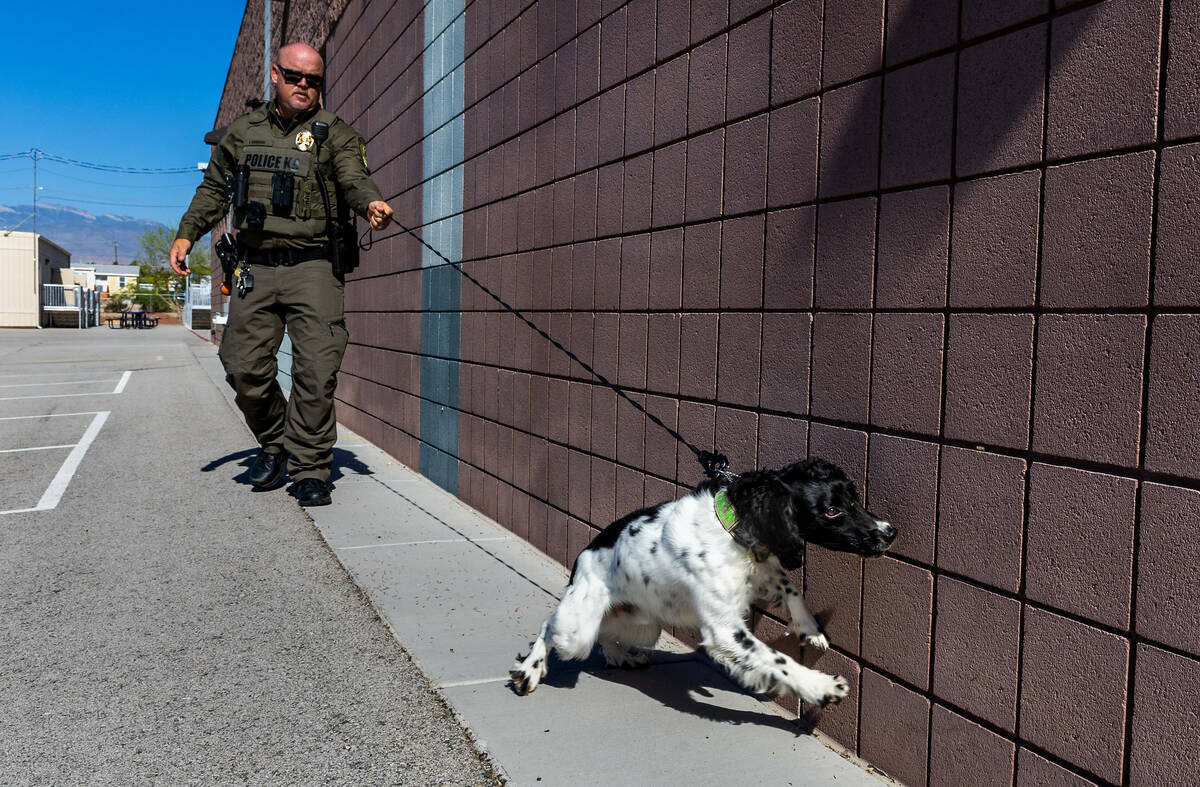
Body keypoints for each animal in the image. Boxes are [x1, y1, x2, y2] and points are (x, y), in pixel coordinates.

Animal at [506, 455, 892, 705]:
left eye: (855, 499)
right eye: (832, 510)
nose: (891, 532)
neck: (733, 526)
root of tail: (582, 557)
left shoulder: (761, 572)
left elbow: (790, 587)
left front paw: (809, 629)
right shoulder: (724, 630)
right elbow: (777, 660)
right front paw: (821, 687)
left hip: (643, 625)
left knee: (606, 636)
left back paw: (622, 658)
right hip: (576, 631)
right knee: (548, 628)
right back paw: (529, 671)